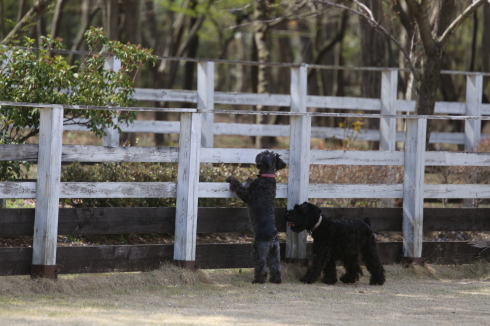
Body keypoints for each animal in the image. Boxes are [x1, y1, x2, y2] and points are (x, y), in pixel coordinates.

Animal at [226, 150, 288, 282]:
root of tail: (273, 236)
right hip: (275, 252)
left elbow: (239, 187)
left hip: (259, 249)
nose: (260, 153)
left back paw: (258, 279)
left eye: (265, 153)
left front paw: (232, 178)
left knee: (261, 265)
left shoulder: (247, 195)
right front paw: (249, 178)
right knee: (276, 266)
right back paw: (275, 280)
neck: (267, 176)